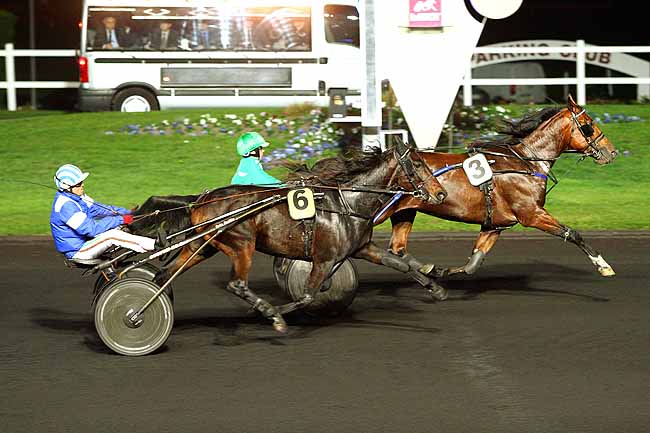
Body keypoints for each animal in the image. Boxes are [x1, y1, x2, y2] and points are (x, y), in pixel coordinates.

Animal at [129, 141, 448, 333]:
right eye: (418, 164)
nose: (441, 193)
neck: (348, 203)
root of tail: (200, 199)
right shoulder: (324, 258)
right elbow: (307, 295)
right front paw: (274, 314)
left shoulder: (363, 247)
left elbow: (401, 264)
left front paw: (436, 289)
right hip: (242, 244)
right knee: (236, 284)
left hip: (202, 245)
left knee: (165, 273)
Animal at [370, 95, 619, 282]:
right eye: (588, 125)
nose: (612, 152)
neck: (527, 163)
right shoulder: (532, 214)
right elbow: (572, 233)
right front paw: (603, 265)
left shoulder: (494, 225)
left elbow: (473, 263)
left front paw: (439, 271)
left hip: (405, 211)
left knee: (398, 248)